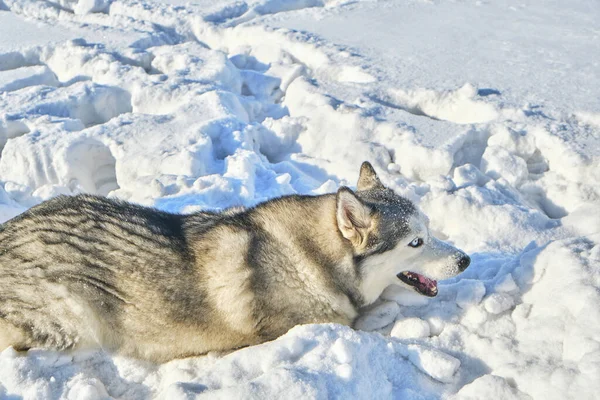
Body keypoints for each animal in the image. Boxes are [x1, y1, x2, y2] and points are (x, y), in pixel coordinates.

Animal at [0, 161, 468, 360]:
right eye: (416, 242)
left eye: (431, 230)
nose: (465, 260)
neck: (311, 259)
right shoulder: (309, 323)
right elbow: (363, 319)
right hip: (75, 319)